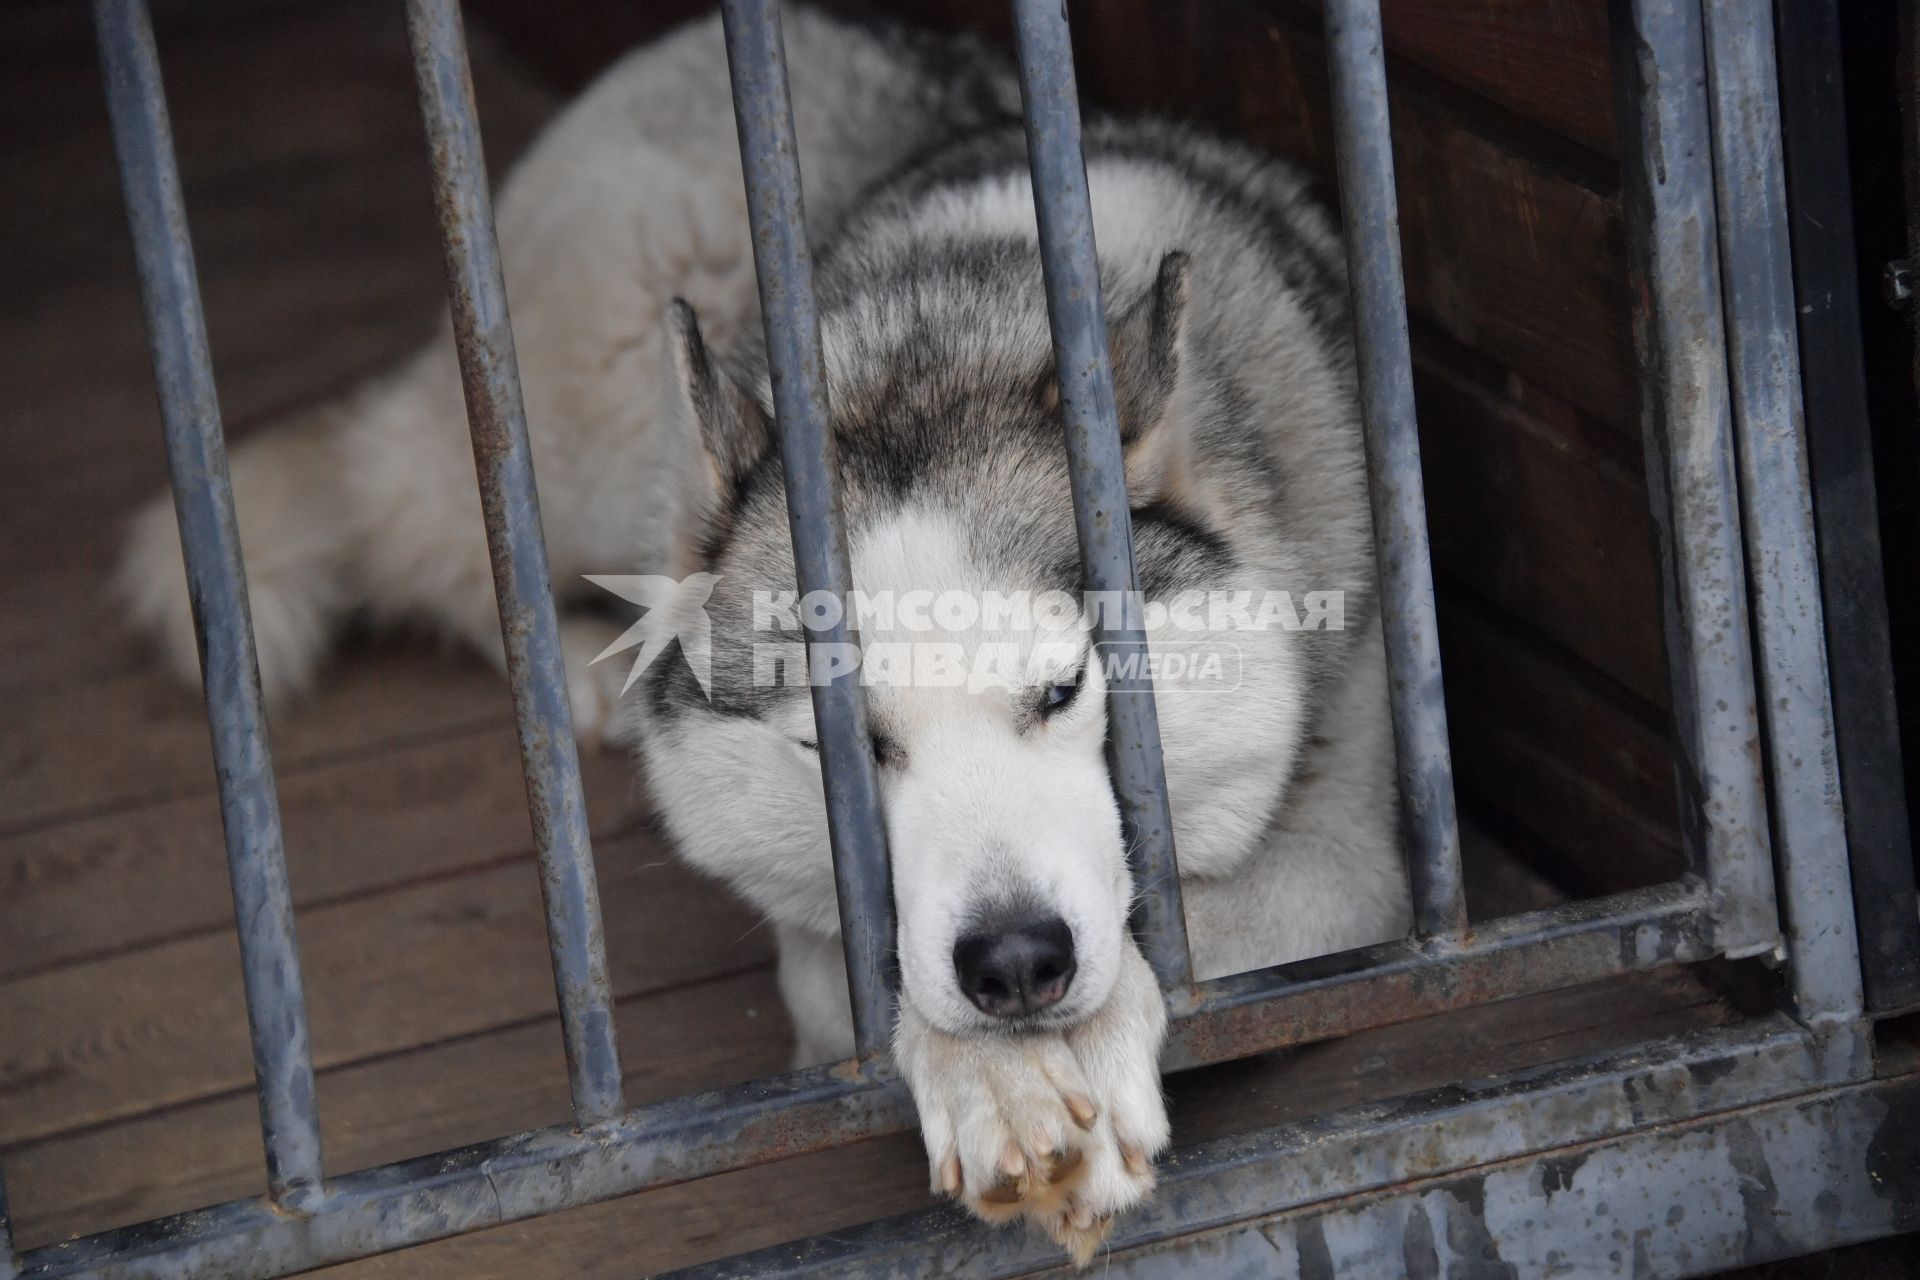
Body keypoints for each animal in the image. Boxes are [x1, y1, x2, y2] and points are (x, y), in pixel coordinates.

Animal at [120, 5, 1413, 1266]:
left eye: (1060, 693)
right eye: (840, 749)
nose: (1014, 963)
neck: (949, 330)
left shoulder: (1356, 866)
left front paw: (1071, 1046)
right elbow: (872, 977)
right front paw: (1000, 1078)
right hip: (593, 414)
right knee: (423, 505)